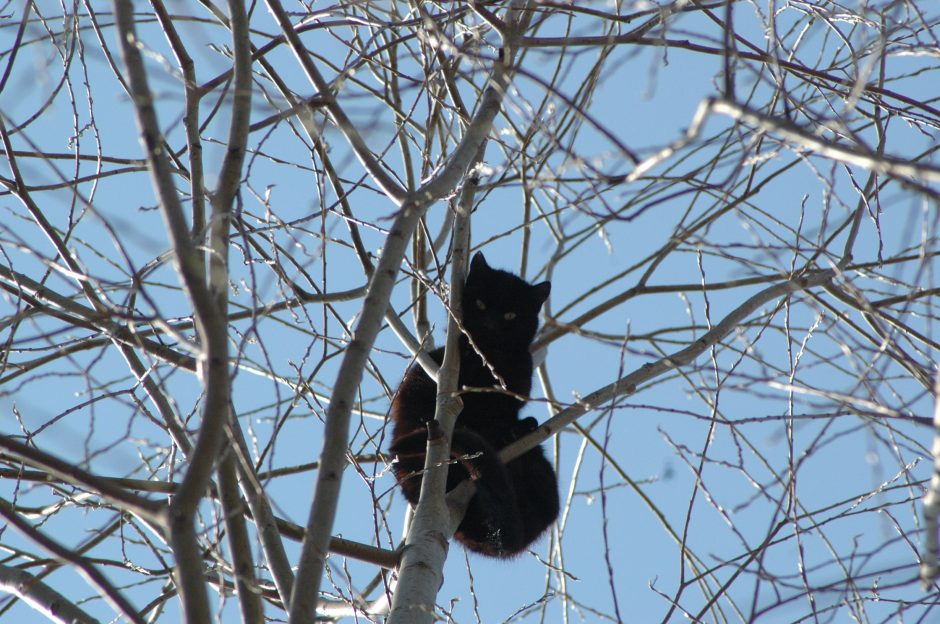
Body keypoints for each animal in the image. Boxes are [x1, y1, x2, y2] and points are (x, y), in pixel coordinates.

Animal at [390, 250, 560, 556]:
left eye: (510, 315)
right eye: (481, 303)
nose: (490, 323)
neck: (487, 361)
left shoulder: (513, 395)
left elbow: (503, 415)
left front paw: (513, 428)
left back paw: (520, 431)